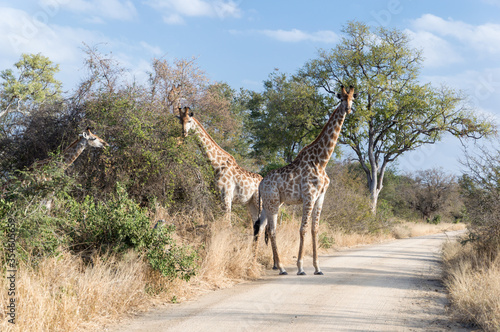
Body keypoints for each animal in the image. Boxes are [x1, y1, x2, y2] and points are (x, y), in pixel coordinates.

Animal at [256, 85, 358, 274]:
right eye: (341, 98)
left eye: (352, 99)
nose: (348, 109)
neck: (321, 161)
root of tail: (260, 184)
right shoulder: (309, 196)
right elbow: (303, 229)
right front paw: (301, 267)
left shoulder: (320, 197)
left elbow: (315, 229)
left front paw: (318, 268)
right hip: (273, 202)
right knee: (272, 230)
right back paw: (281, 267)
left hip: (269, 203)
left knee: (261, 227)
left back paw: (260, 263)